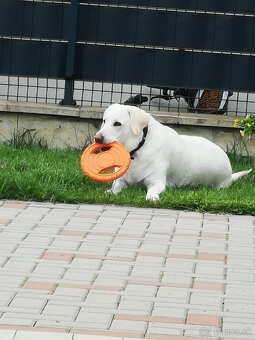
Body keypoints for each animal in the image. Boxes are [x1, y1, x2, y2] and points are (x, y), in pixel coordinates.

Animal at [94, 102, 251, 201]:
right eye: (104, 121)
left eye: (117, 124)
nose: (97, 138)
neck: (138, 149)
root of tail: (230, 174)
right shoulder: (121, 180)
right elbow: (115, 187)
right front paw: (110, 192)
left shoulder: (156, 182)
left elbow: (152, 190)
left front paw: (151, 197)